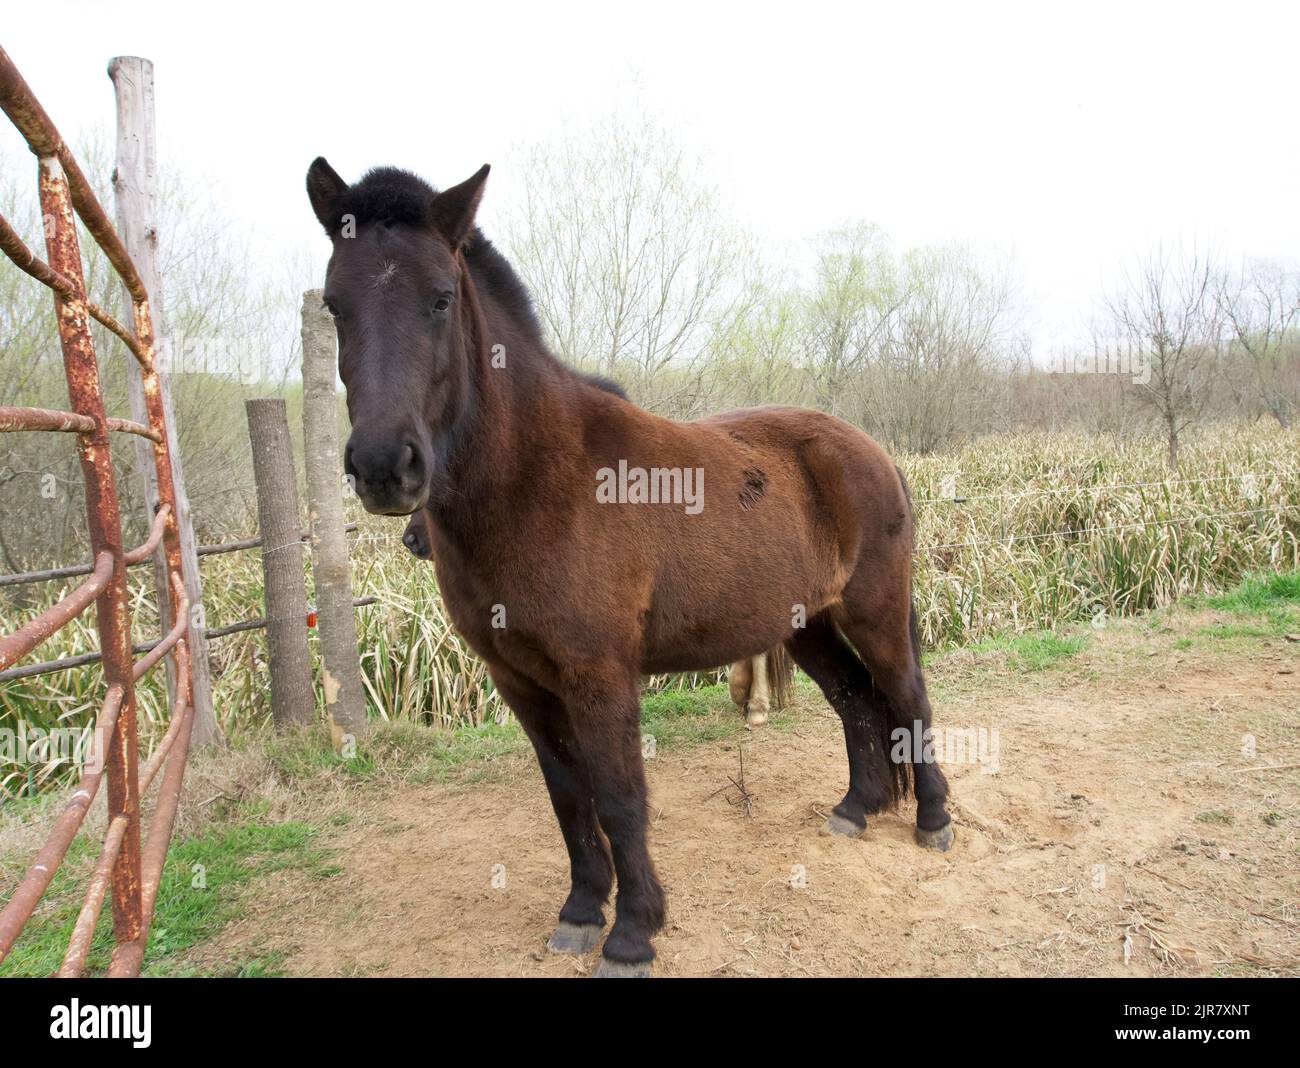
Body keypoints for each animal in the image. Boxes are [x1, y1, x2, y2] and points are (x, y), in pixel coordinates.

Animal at [305, 156, 956, 977]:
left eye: (441, 298)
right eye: (335, 305)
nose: (385, 468)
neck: (539, 480)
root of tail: (867, 448)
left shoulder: (601, 676)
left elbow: (619, 797)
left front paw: (633, 933)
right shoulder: (520, 681)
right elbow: (568, 797)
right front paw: (583, 911)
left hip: (875, 612)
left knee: (908, 699)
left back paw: (932, 819)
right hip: (807, 624)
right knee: (857, 701)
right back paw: (856, 810)